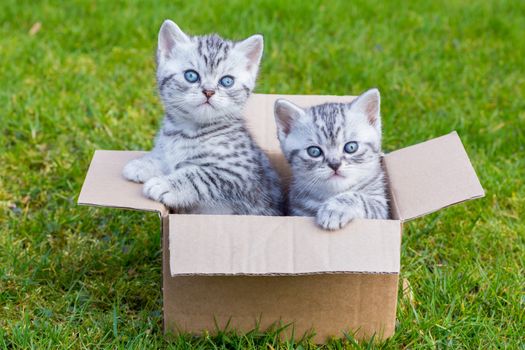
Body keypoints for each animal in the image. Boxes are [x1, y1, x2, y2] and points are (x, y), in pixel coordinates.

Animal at [122, 20, 282, 215]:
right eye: (191, 75)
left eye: (226, 81)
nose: (209, 91)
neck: (187, 131)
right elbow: (164, 156)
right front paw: (144, 164)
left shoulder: (239, 175)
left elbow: (199, 175)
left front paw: (165, 184)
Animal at [274, 89, 388, 228]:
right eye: (314, 151)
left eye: (351, 147)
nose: (335, 164)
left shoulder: (381, 209)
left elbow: (362, 199)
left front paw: (335, 209)